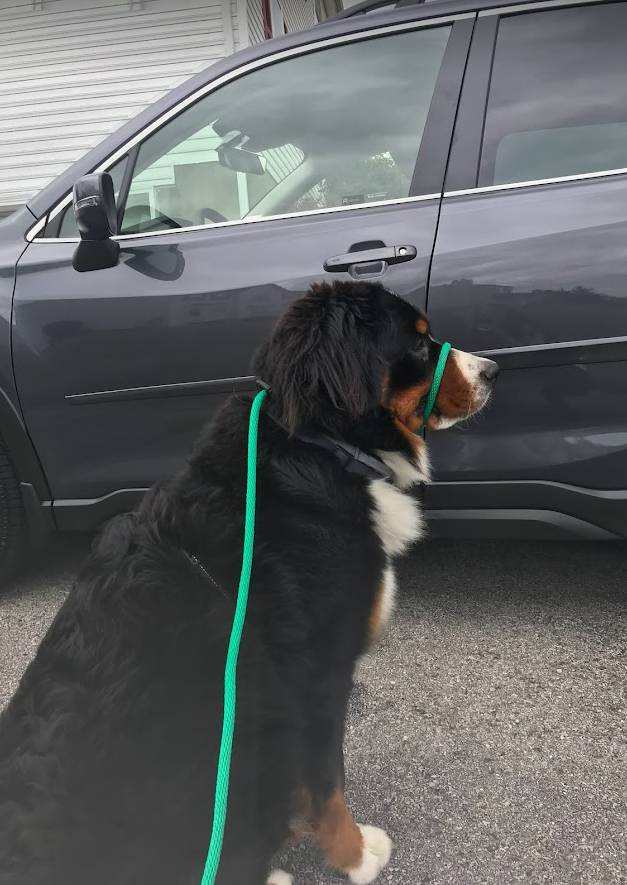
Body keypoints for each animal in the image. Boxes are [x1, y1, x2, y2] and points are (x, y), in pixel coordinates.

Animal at [0, 282, 500, 884]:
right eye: (421, 344)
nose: (494, 370)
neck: (322, 447)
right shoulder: (315, 677)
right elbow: (327, 783)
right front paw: (355, 855)